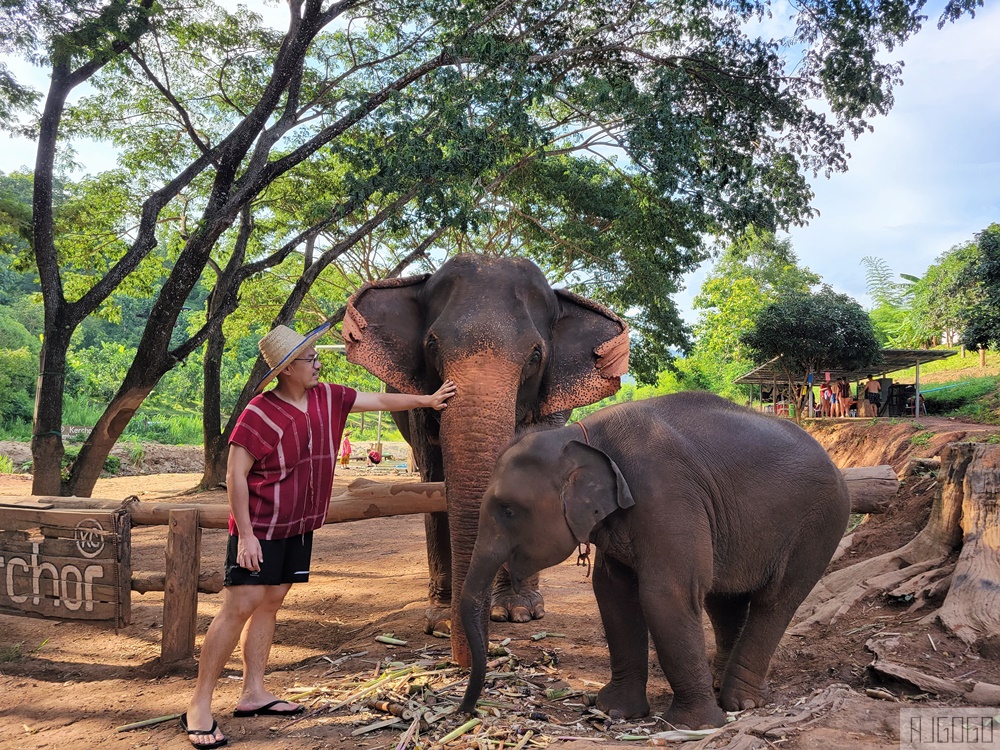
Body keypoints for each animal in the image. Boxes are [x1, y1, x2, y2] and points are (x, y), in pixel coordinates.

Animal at [342, 254, 629, 666]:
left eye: (535, 355)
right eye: (432, 345)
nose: (465, 662)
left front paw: (517, 612)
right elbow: (436, 481)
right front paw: (443, 622)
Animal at [459, 391, 851, 729]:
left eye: (508, 510)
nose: (466, 711)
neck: (580, 436)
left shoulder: (665, 493)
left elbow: (666, 595)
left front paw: (695, 726)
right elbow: (613, 595)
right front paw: (615, 711)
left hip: (819, 524)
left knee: (775, 601)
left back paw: (742, 703)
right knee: (723, 601)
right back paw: (722, 687)